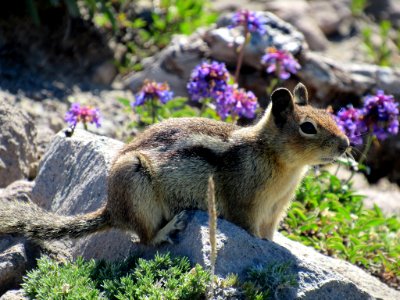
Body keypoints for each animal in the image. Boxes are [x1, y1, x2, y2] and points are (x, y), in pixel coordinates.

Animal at [0, 83, 350, 245]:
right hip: (136, 185)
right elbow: (247, 227)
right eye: (308, 127)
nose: (346, 144)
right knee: (144, 239)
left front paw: (270, 244)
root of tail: (112, 208)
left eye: (331, 115)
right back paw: (168, 229)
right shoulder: (245, 205)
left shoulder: (275, 211)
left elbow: (269, 235)